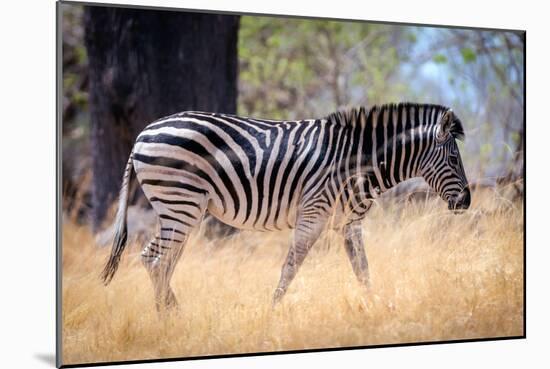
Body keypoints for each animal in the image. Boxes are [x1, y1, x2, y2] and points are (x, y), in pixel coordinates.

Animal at [100, 100, 470, 308]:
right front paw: (272, 312)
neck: (357, 162)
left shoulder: (349, 222)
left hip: (181, 210)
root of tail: (143, 134)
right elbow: (291, 267)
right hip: (180, 203)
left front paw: (377, 306)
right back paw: (171, 317)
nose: (467, 202)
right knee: (156, 259)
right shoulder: (313, 213)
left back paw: (173, 315)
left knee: (161, 262)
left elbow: (363, 270)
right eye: (454, 158)